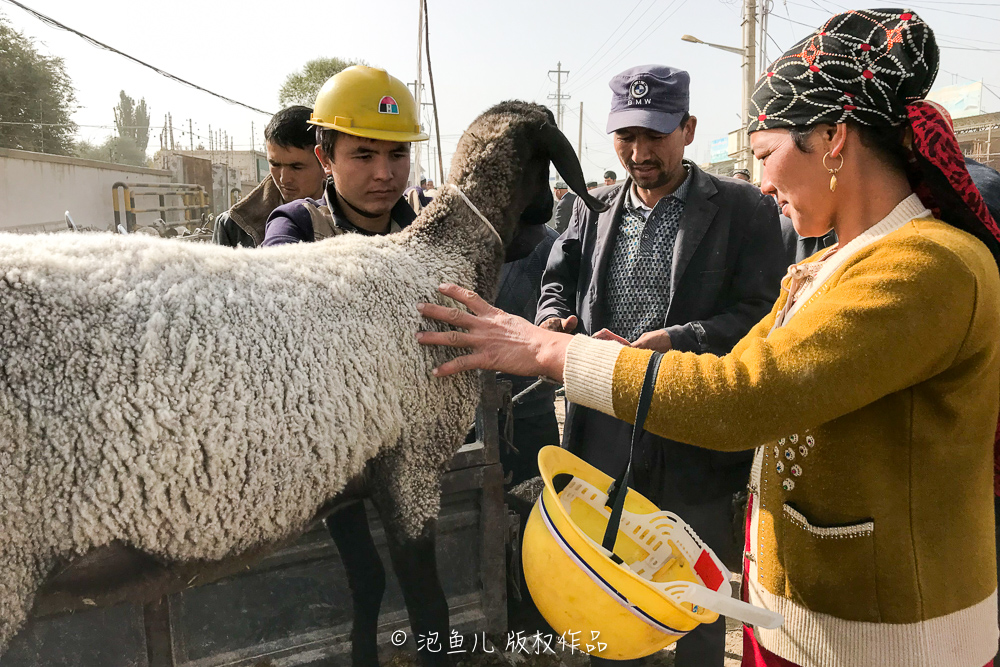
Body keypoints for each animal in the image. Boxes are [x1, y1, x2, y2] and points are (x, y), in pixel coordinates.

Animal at [0, 102, 608, 664]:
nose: (548, 227)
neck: (442, 259)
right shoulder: (414, 461)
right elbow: (427, 610)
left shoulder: (346, 477)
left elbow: (367, 587)